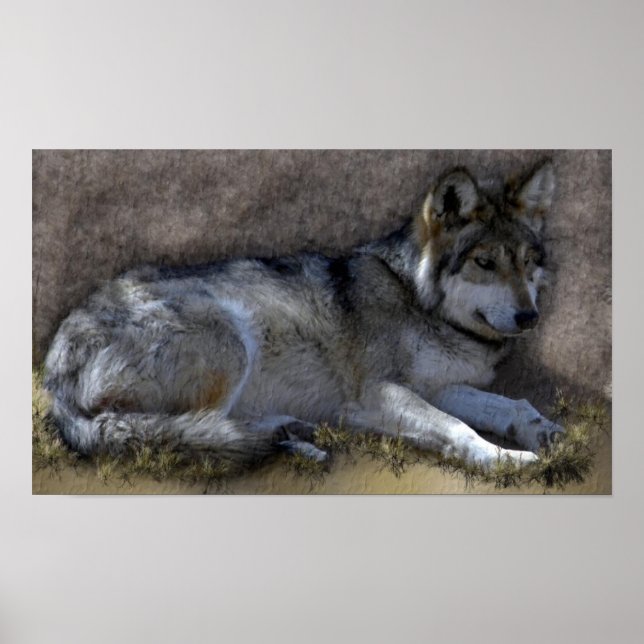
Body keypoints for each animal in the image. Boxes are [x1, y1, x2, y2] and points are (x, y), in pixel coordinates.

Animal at [44, 160, 564, 470]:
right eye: (484, 262)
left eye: (527, 261)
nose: (530, 317)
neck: (417, 300)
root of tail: (54, 370)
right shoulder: (378, 392)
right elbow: (459, 427)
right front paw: (506, 459)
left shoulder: (438, 385)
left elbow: (511, 405)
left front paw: (543, 431)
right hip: (233, 340)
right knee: (182, 430)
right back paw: (282, 435)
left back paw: (291, 435)